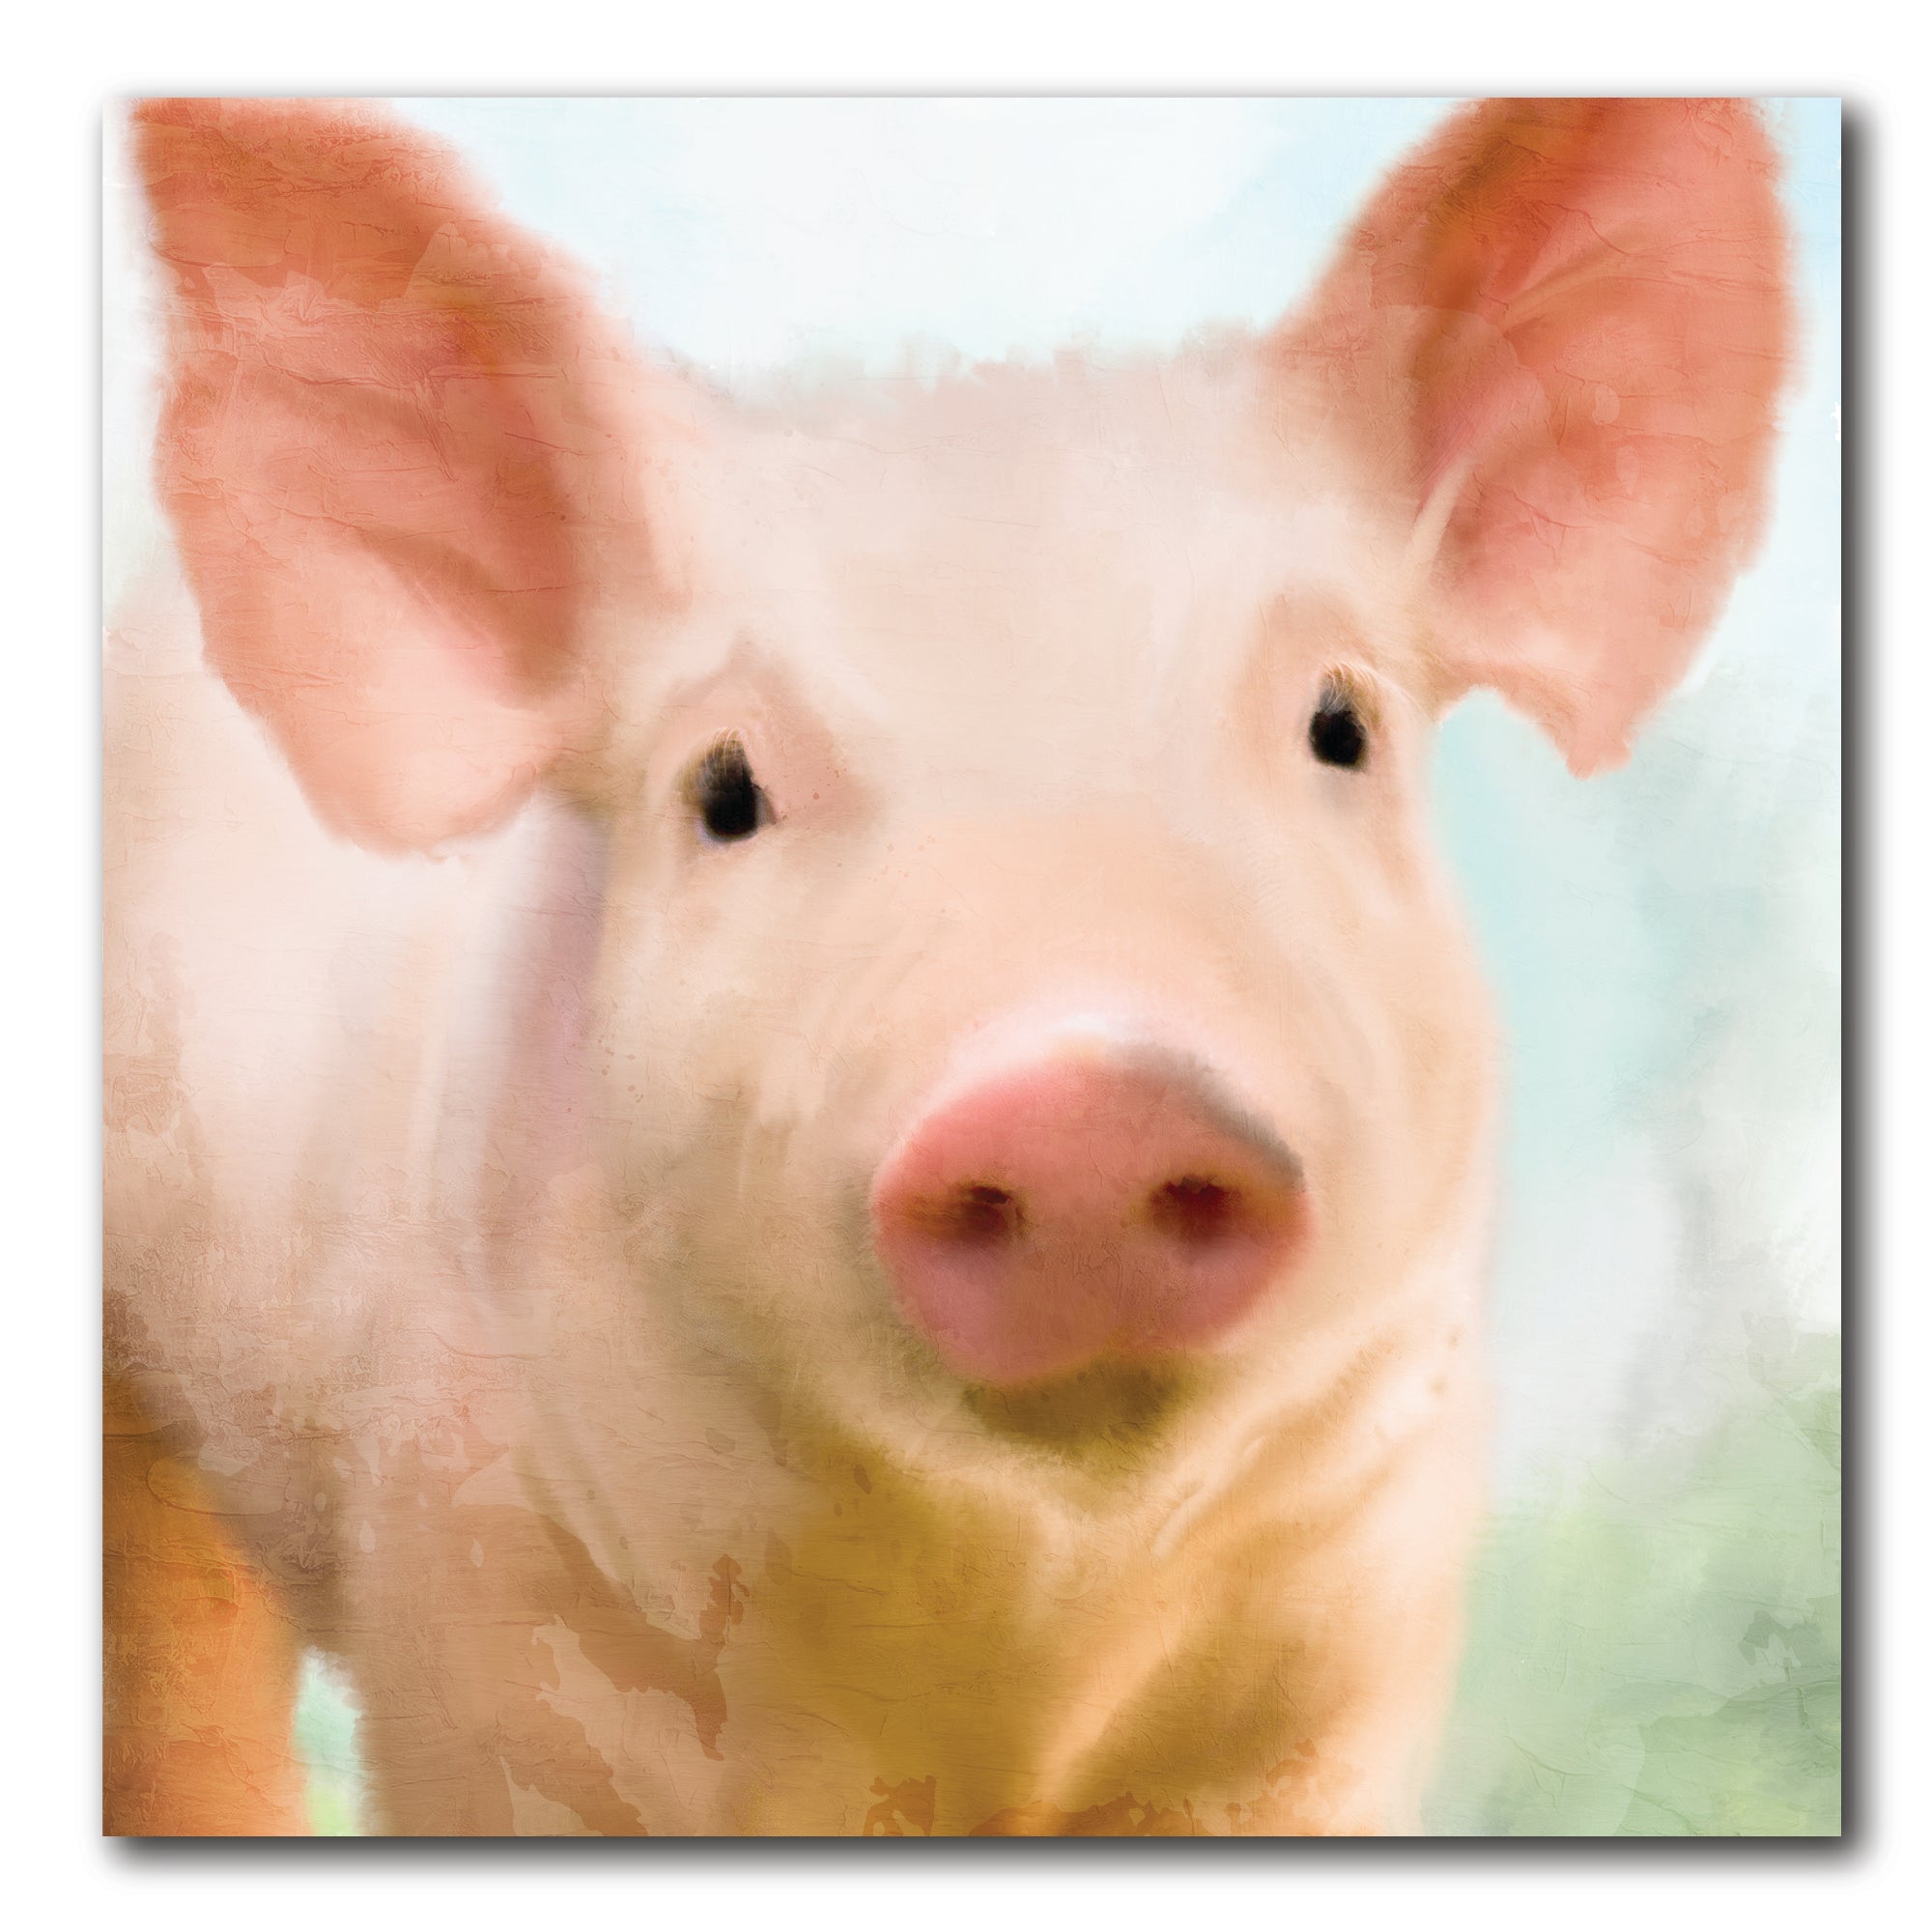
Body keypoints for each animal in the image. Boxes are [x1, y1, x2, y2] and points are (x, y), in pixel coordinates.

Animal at [105, 95, 1793, 1836]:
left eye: (1343, 725)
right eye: (725, 791)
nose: (1089, 1099)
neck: (1014, 1646)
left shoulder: (1341, 1658)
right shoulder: (476, 1614)